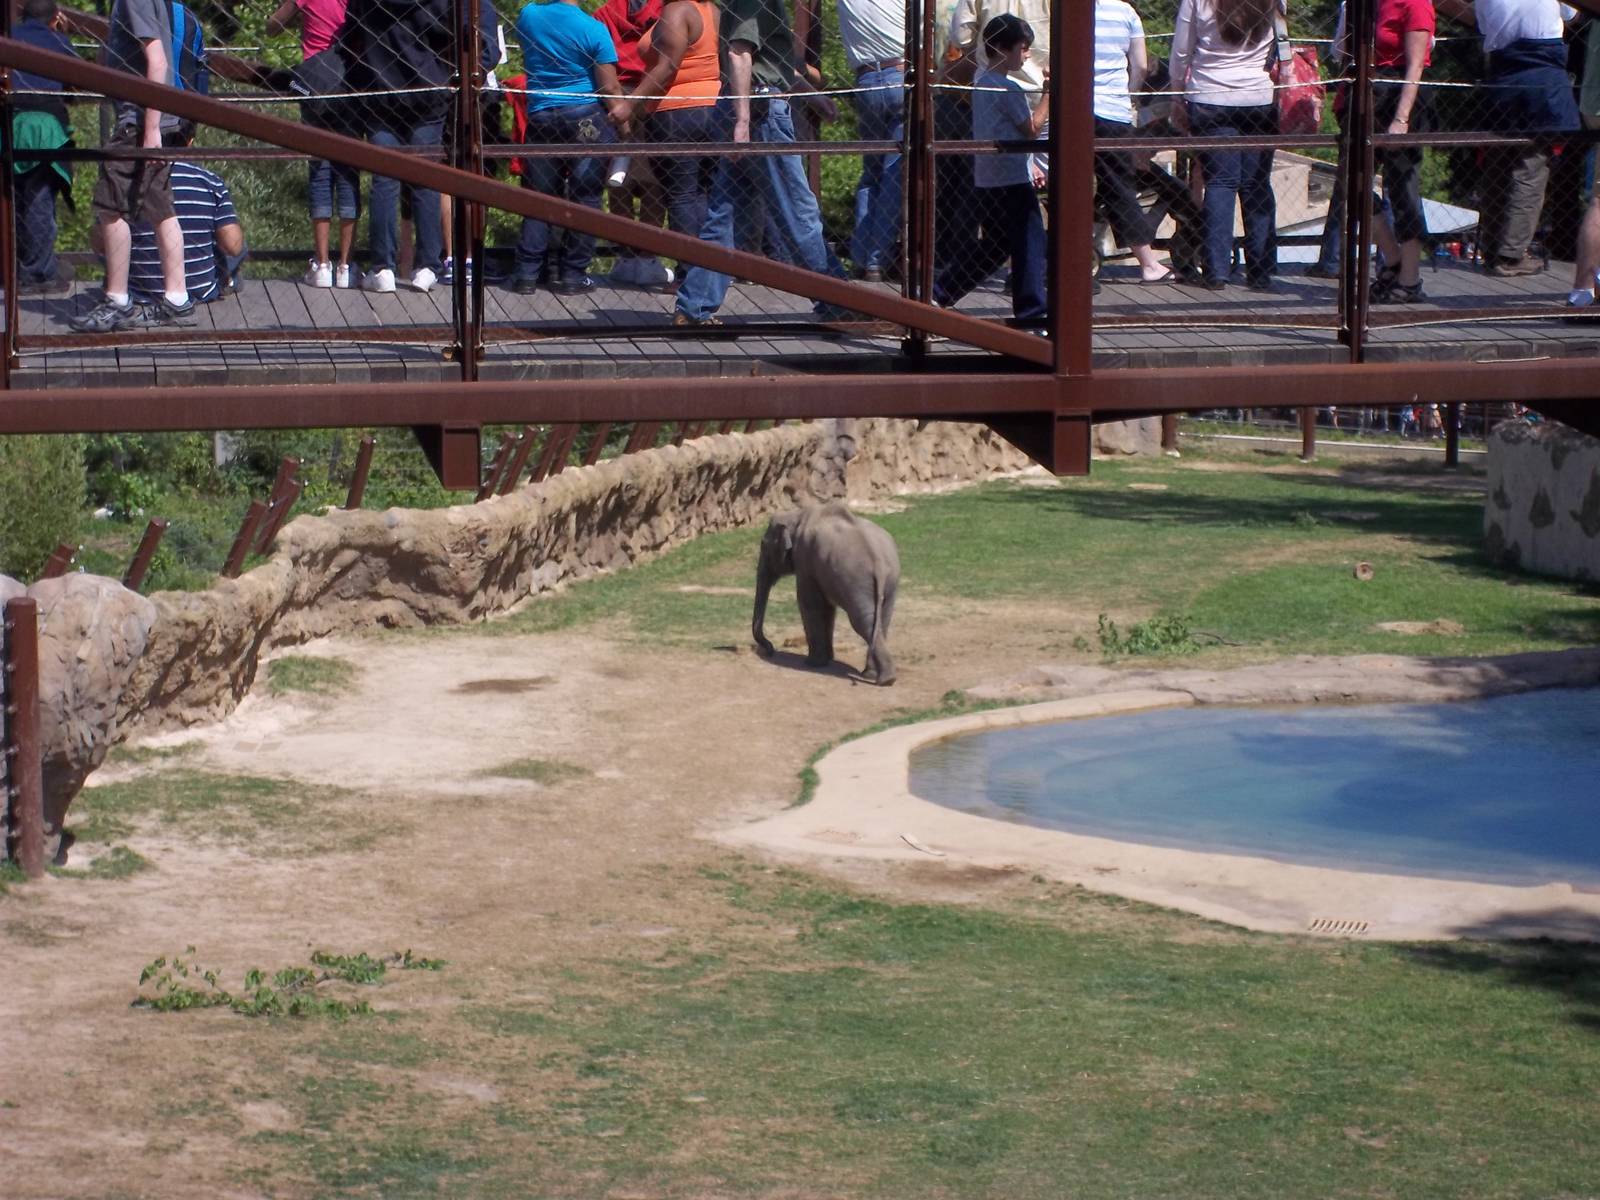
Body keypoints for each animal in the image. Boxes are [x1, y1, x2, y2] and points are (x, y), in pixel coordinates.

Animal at [751, 502, 900, 685]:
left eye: (763, 545)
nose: (770, 649)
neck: (798, 515)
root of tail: (879, 563)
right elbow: (827, 608)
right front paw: (828, 659)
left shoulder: (805, 560)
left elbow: (808, 603)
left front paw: (812, 663)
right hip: (890, 581)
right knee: (881, 621)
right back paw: (875, 676)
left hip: (857, 582)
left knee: (863, 622)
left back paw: (882, 679)